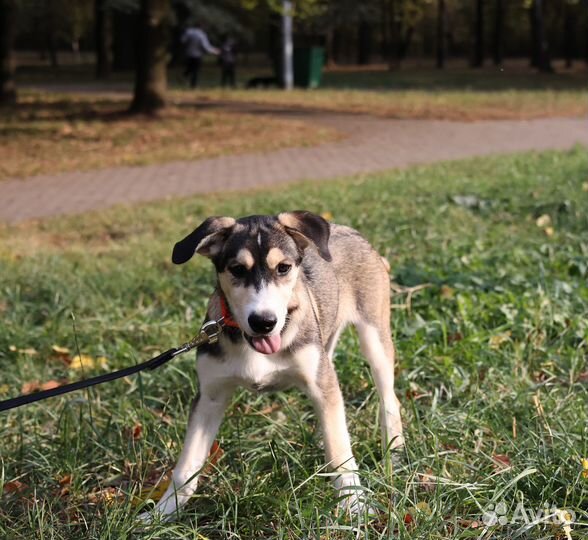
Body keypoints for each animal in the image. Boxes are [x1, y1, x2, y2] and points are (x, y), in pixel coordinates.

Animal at [145, 210, 406, 520]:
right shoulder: (210, 396)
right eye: (237, 269)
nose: (264, 322)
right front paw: (161, 514)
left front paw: (354, 505)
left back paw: (394, 453)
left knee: (388, 399)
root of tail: (351, 231)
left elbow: (340, 452)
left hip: (374, 337)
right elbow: (186, 465)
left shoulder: (322, 383)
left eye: (283, 268)